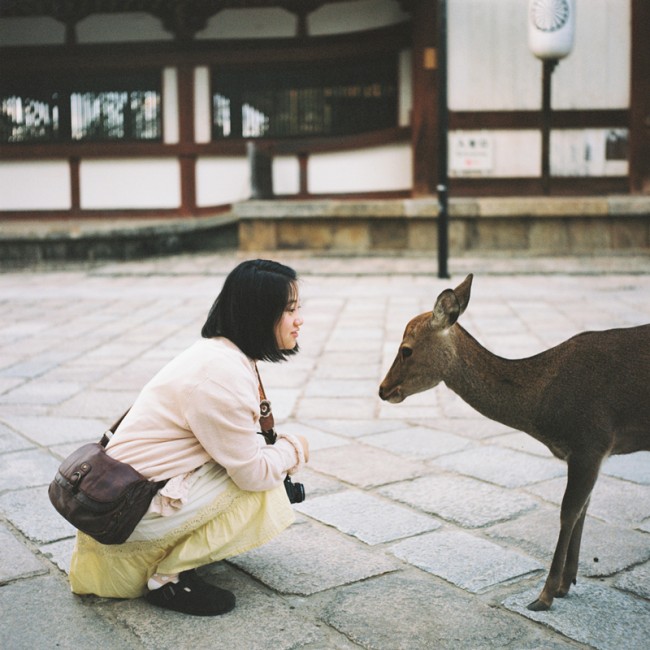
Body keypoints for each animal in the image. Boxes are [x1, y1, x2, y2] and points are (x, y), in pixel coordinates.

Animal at [378, 273, 650, 611]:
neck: (543, 405)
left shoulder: (591, 441)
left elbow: (568, 511)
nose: (382, 389)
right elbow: (584, 508)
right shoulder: (595, 453)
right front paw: (566, 585)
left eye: (406, 349)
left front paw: (544, 596)